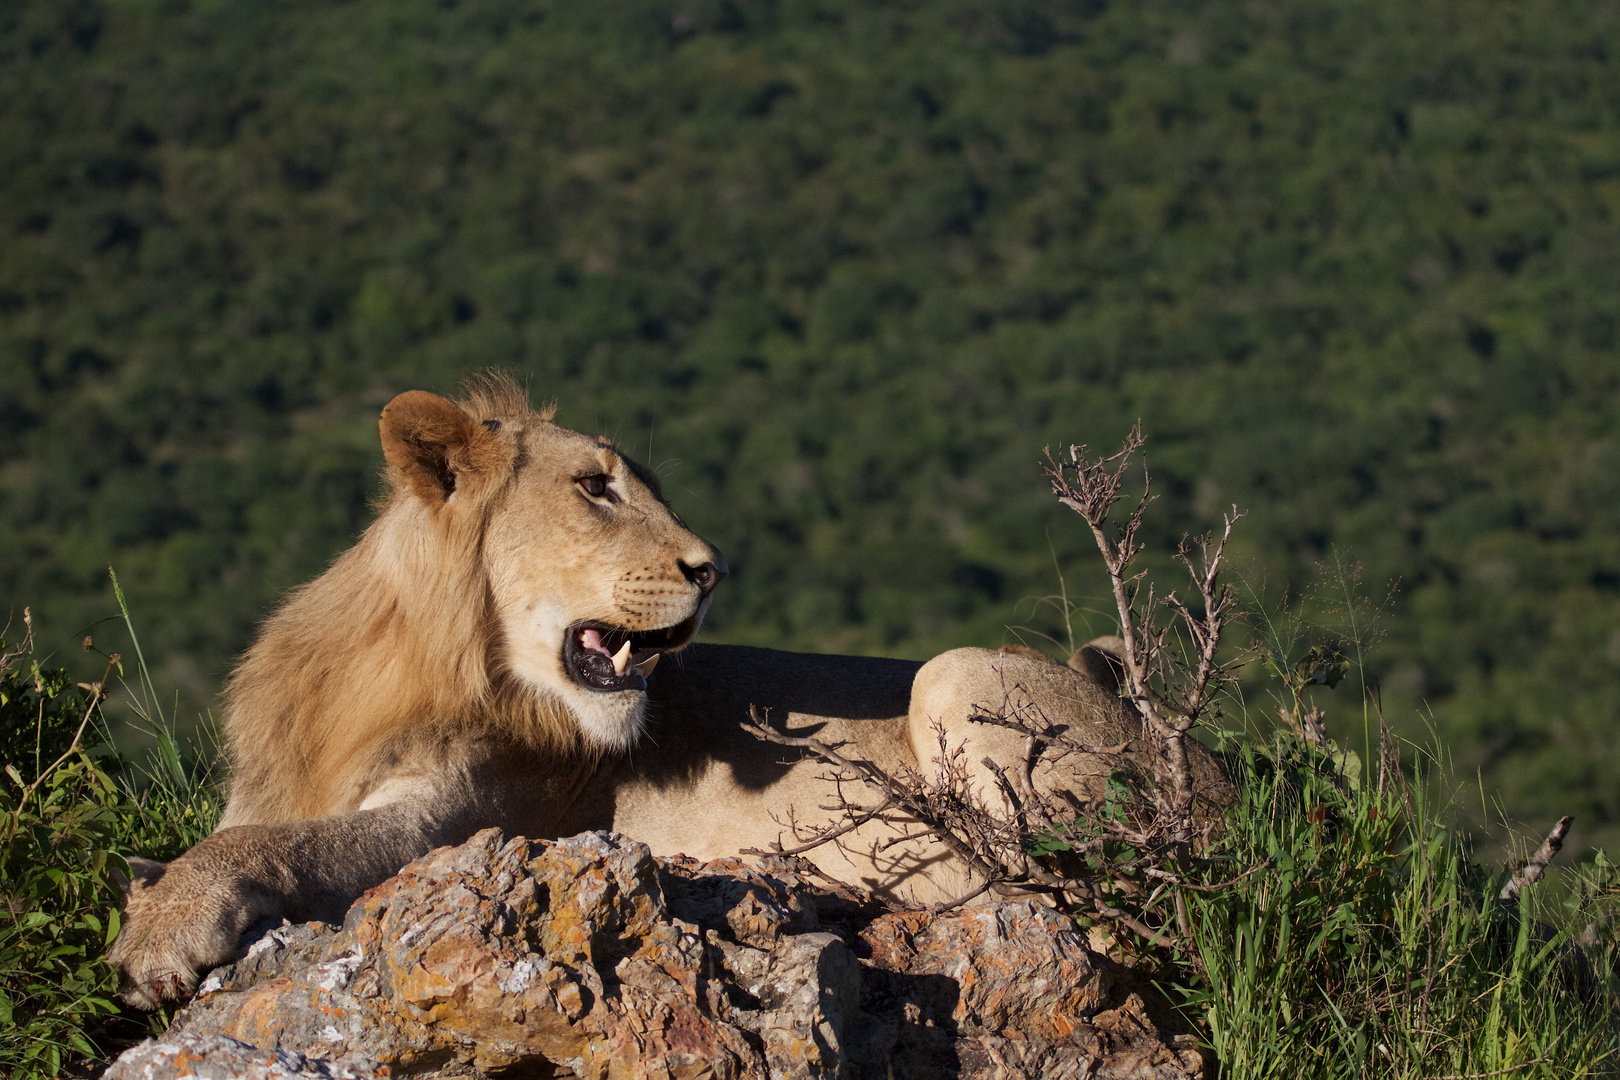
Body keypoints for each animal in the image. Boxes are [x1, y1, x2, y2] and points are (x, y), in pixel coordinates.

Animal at [110, 375, 1224, 1010]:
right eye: (595, 487)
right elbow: (239, 832)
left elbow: (279, 845)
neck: (399, 664)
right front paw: (160, 900)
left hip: (962, 675)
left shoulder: (466, 820)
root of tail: (1225, 778)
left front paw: (162, 931)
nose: (713, 568)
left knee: (1081, 914)